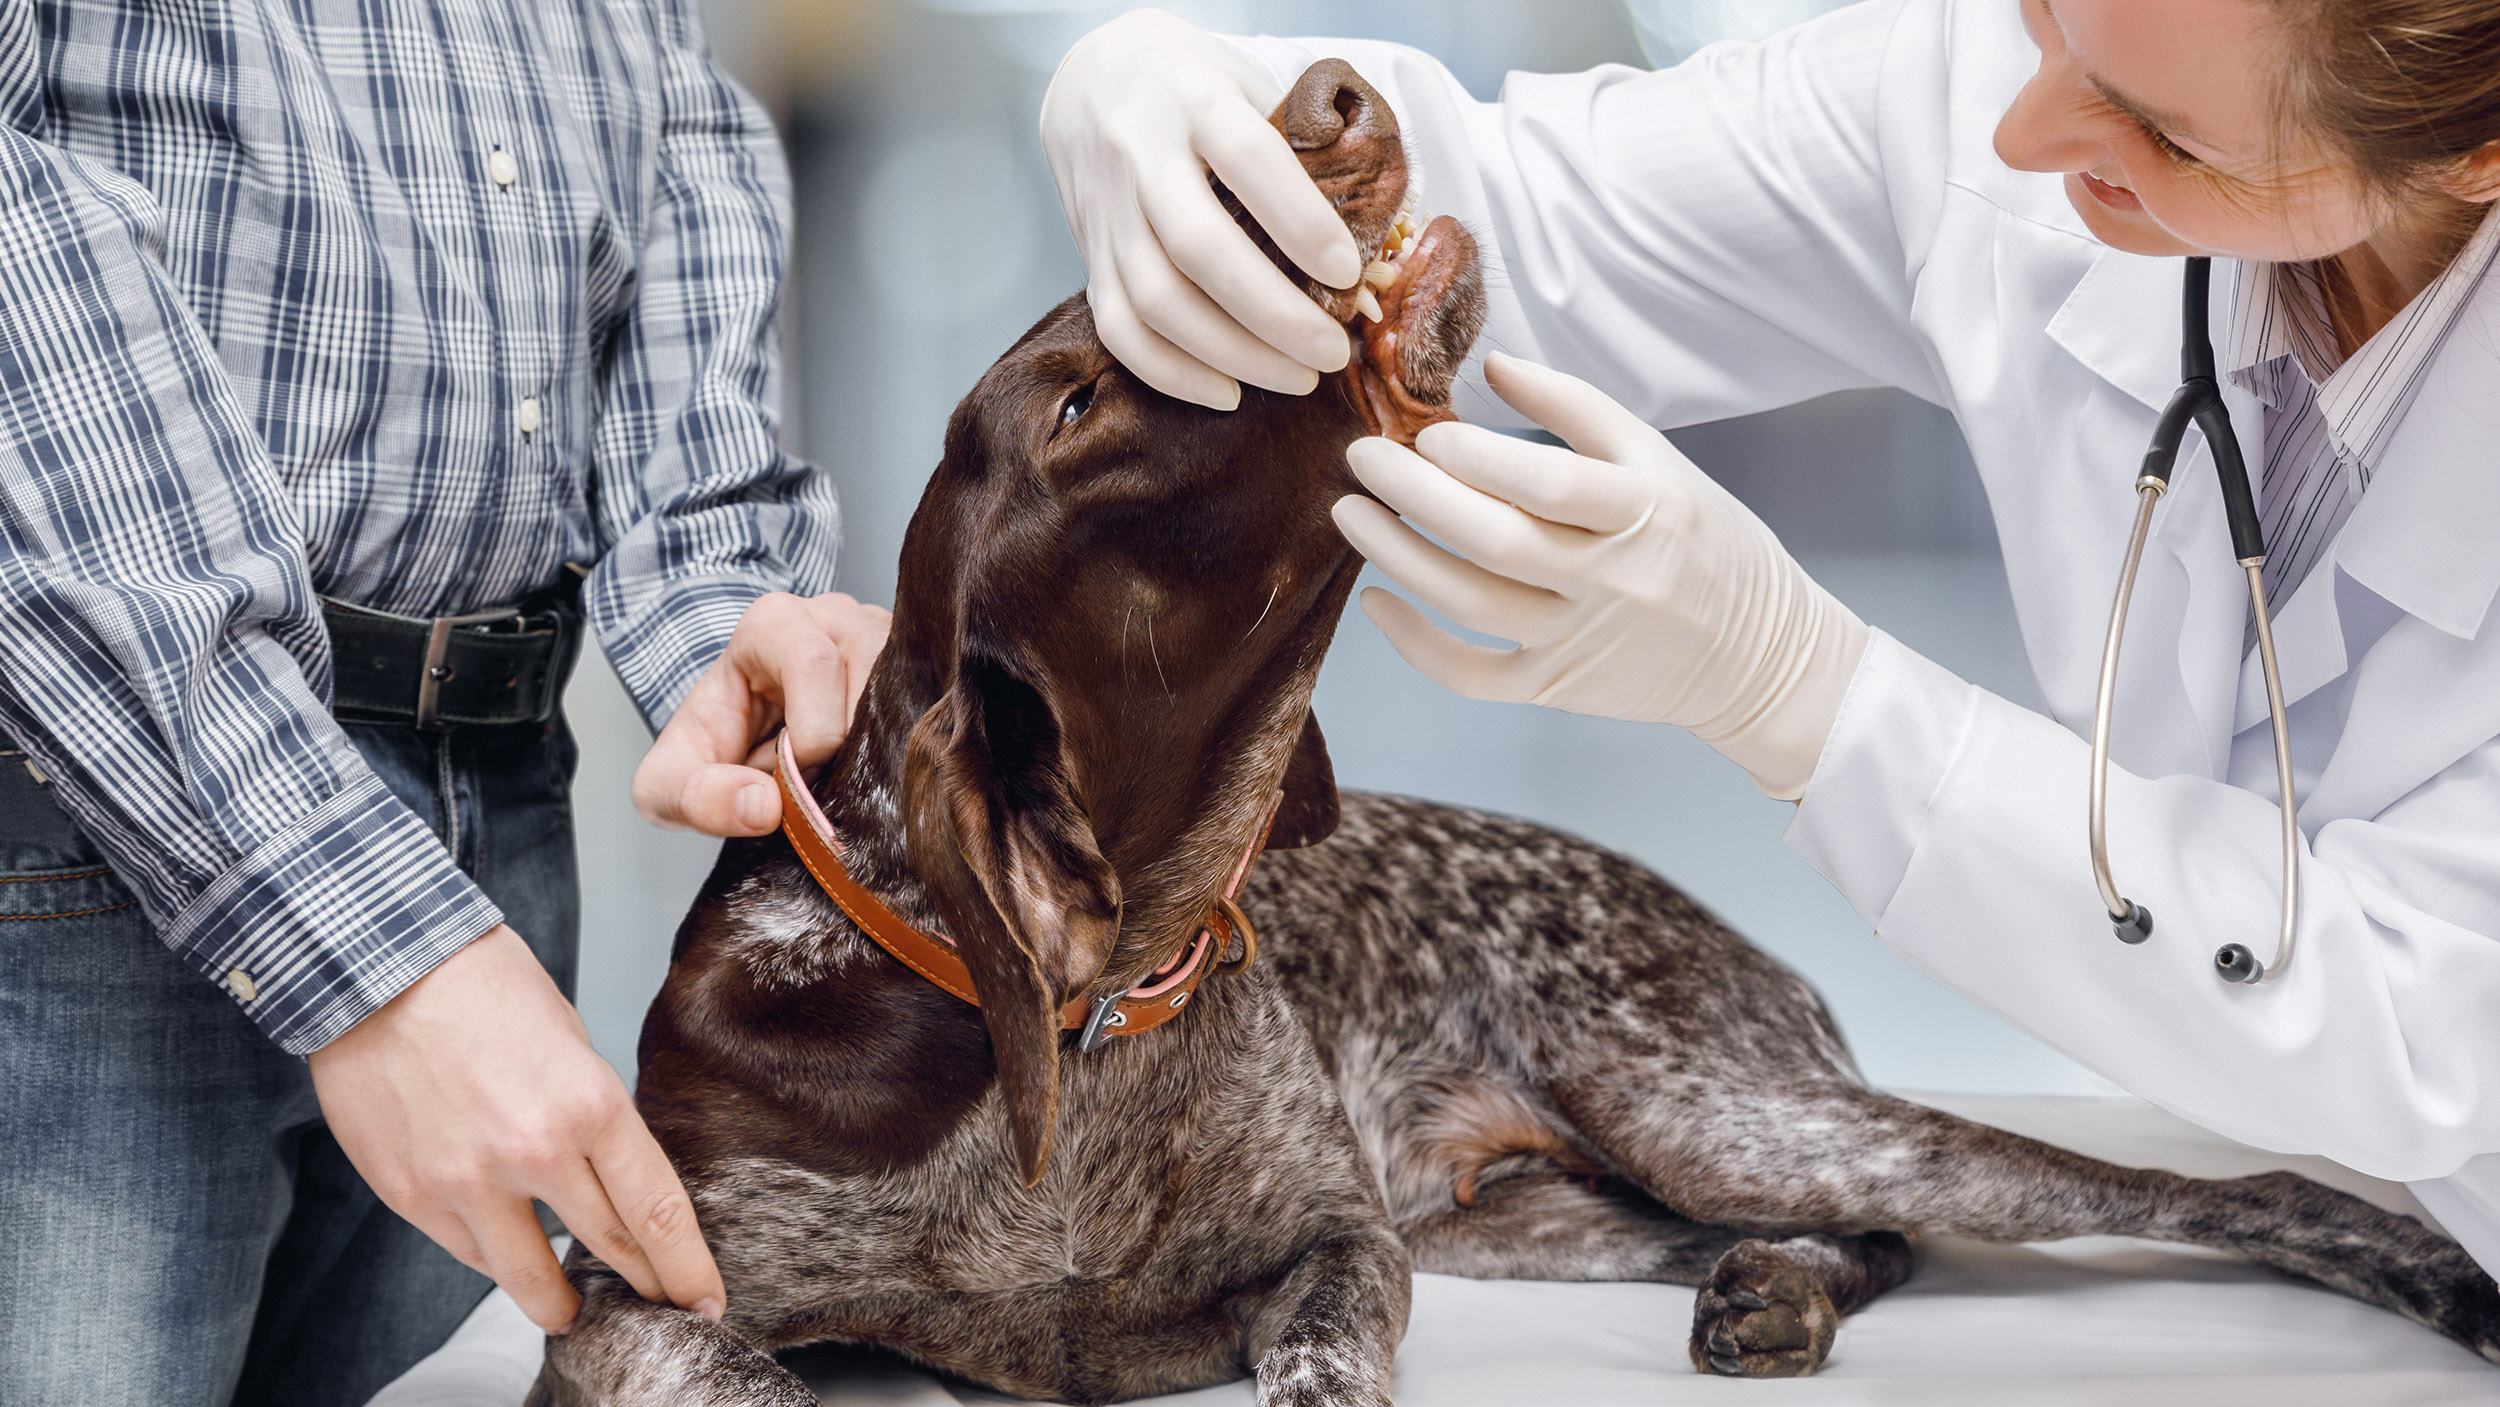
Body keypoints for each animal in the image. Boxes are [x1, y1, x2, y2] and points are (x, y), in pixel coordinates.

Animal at [532, 60, 2500, 1399]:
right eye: (1076, 407)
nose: (1321, 89)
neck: (1089, 995)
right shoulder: (636, 1305)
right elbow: (748, 1364)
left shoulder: (1339, 1249)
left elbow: (1327, 1361)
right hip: (1547, 1205)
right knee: (1865, 1230)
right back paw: (1775, 1287)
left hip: (1721, 1109)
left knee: (2188, 1181)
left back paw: (2427, 1265)